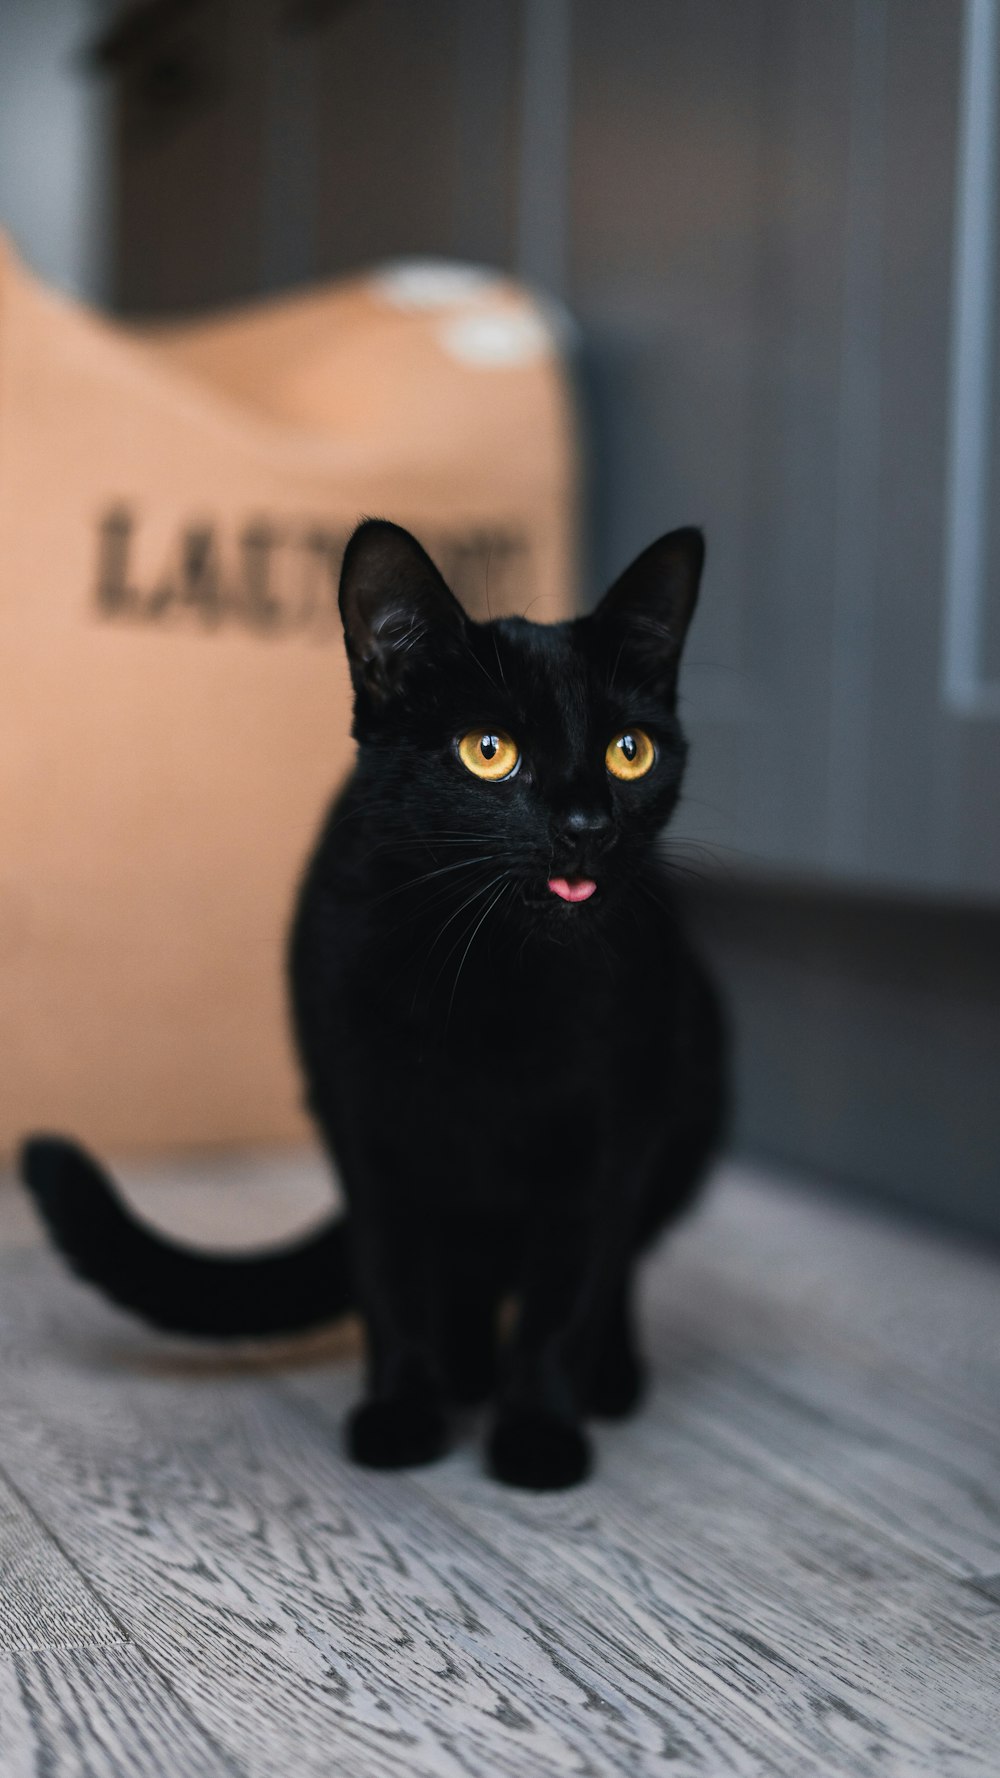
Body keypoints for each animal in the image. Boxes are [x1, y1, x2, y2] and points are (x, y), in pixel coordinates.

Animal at [19, 519, 718, 1493]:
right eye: (488, 751)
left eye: (630, 751)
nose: (587, 825)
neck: (490, 983)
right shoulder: (365, 1124)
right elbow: (392, 1281)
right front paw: (404, 1413)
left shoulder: (609, 1131)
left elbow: (565, 1294)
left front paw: (540, 1431)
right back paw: (465, 1371)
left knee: (614, 1270)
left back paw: (604, 1377)